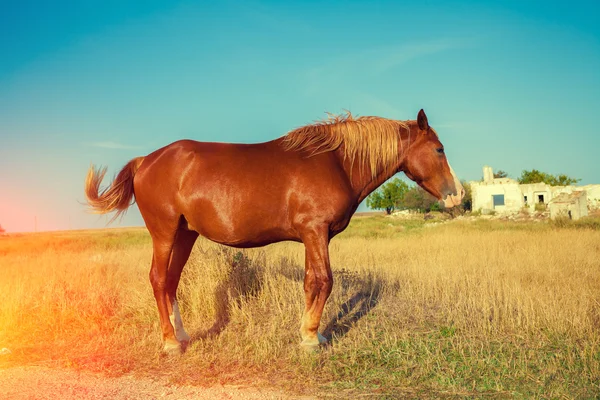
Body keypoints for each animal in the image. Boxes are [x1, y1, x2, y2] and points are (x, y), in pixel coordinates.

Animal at [83, 108, 464, 354]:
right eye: (439, 149)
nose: (456, 194)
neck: (336, 162)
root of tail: (145, 160)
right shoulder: (315, 231)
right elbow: (323, 280)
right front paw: (310, 338)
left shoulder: (314, 237)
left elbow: (312, 281)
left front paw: (310, 333)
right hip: (164, 233)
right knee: (159, 279)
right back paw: (170, 343)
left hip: (185, 234)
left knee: (172, 281)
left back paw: (183, 334)